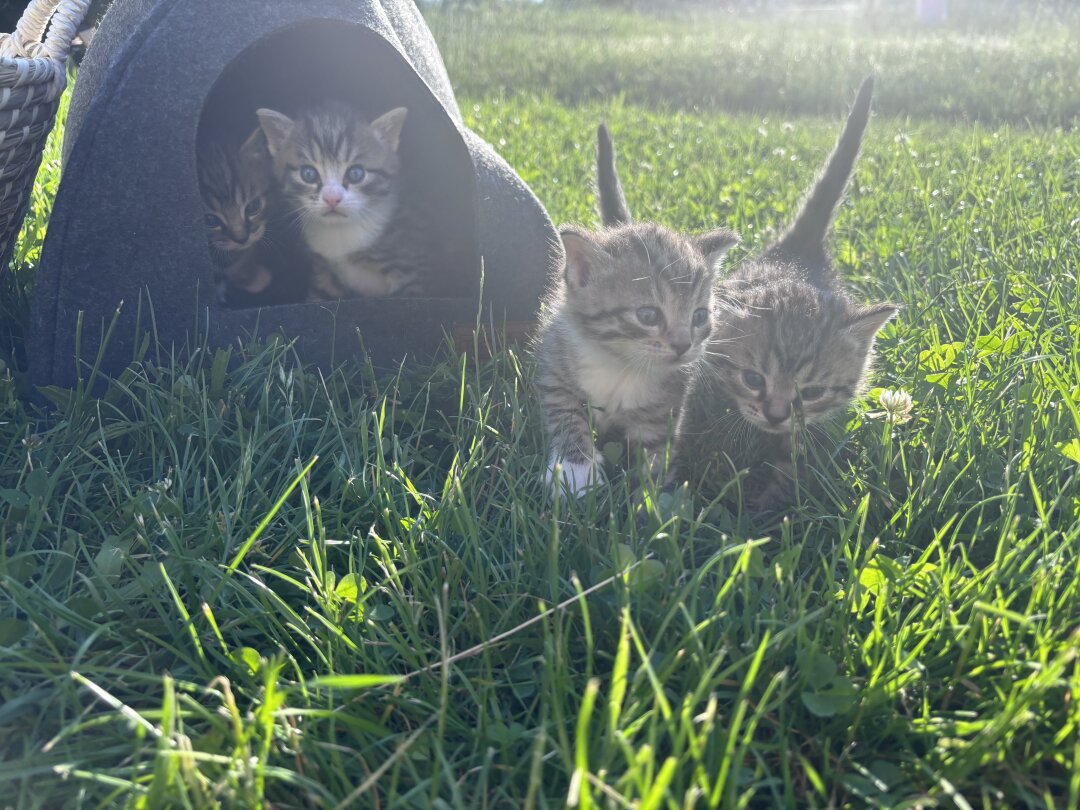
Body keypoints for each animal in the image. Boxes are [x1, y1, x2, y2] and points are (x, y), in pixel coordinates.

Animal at [257, 103, 429, 302]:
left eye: (356, 173)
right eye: (308, 174)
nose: (332, 198)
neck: (340, 234)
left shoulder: (414, 268)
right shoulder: (324, 273)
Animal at [535, 123, 738, 498]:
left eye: (699, 317)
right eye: (648, 316)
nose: (683, 345)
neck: (623, 367)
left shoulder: (665, 405)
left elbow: (658, 449)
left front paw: (653, 498)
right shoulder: (556, 366)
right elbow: (565, 411)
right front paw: (576, 468)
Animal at [678, 77, 898, 514]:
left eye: (810, 393)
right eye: (752, 378)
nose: (776, 415)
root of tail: (801, 248)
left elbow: (789, 469)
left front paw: (767, 510)